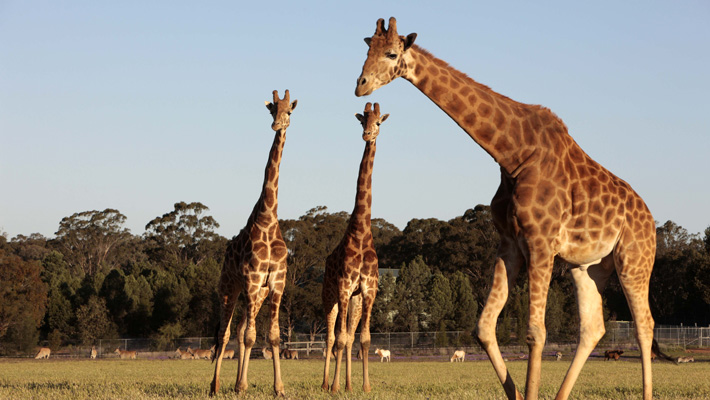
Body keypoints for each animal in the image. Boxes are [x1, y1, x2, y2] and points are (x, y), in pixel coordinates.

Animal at [211, 89, 300, 396]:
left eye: (289, 111)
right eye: (272, 110)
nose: (276, 125)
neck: (268, 217)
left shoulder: (275, 282)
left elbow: (271, 336)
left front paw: (279, 388)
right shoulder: (251, 279)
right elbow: (251, 336)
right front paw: (240, 386)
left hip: (256, 294)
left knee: (238, 332)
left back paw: (241, 382)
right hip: (229, 287)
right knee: (224, 334)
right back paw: (215, 386)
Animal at [358, 18, 664, 400]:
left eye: (391, 53)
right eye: (365, 50)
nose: (360, 85)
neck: (512, 154)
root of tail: (649, 217)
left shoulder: (541, 242)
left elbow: (535, 332)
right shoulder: (510, 244)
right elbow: (484, 327)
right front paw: (516, 393)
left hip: (634, 259)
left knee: (644, 325)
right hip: (588, 266)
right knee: (593, 327)